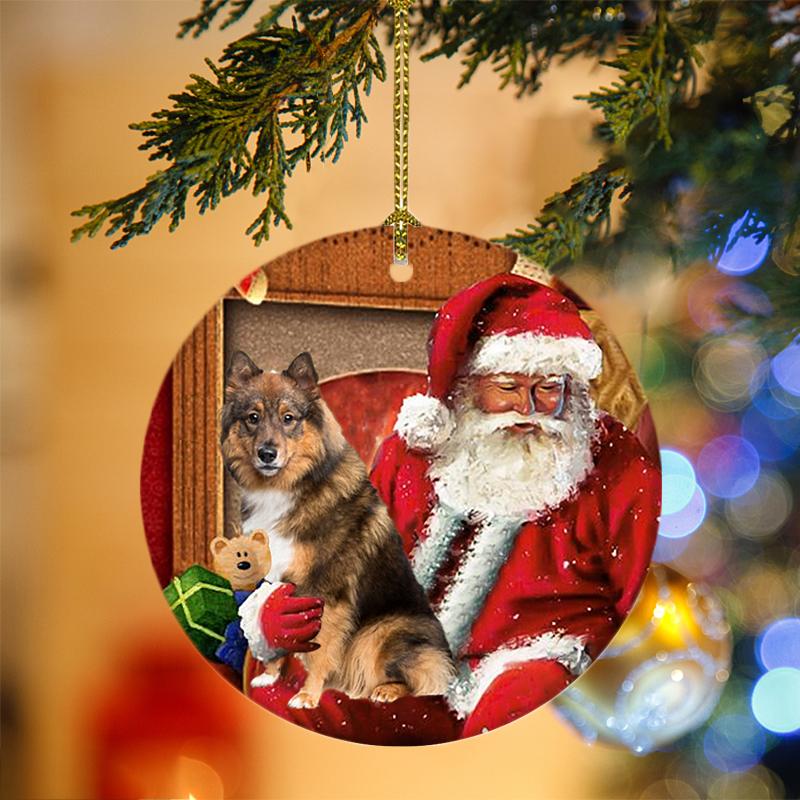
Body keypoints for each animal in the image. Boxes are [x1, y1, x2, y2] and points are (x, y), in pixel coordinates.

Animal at [219, 350, 456, 708]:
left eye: (289, 418)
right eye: (252, 417)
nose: (267, 454)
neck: (286, 488)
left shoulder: (327, 590)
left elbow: (321, 650)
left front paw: (307, 695)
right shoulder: (280, 584)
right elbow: (279, 633)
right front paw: (271, 676)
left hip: (380, 631)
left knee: (425, 678)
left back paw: (385, 690)